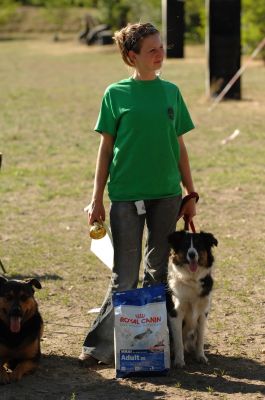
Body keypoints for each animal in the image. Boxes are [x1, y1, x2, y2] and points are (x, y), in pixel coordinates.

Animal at [167, 230, 217, 368]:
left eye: (199, 245)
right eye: (185, 245)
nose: (192, 254)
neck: (192, 280)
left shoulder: (203, 313)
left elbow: (200, 338)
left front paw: (201, 356)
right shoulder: (175, 313)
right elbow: (178, 341)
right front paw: (179, 361)